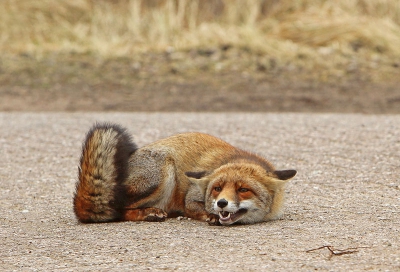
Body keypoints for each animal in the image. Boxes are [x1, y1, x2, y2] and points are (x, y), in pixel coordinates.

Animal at [72, 123, 296, 225]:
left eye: (243, 190)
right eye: (217, 189)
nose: (221, 203)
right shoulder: (191, 197)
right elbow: (195, 208)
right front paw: (210, 215)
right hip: (162, 175)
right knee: (116, 209)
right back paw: (148, 213)